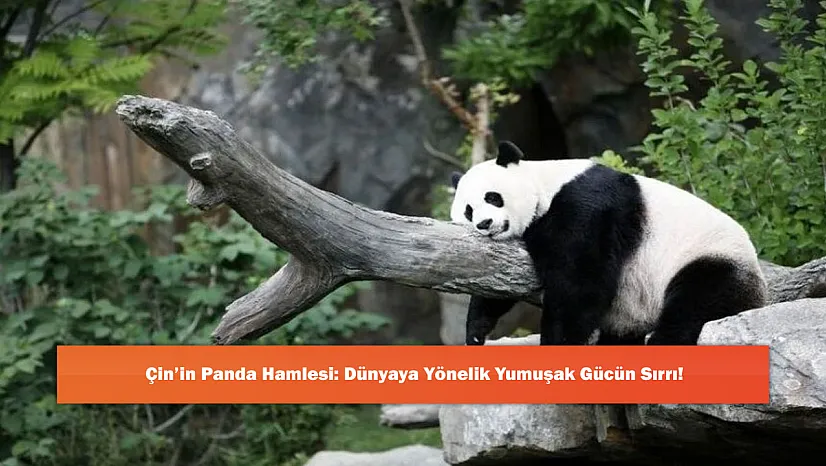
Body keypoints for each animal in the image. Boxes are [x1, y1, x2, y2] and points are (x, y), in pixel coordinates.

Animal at [450, 140, 768, 346]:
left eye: (493, 197)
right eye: (468, 210)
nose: (484, 224)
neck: (545, 185)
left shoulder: (587, 205)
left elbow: (580, 283)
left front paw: (558, 342)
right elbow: (498, 284)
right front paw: (476, 332)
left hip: (711, 256)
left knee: (697, 298)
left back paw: (664, 341)